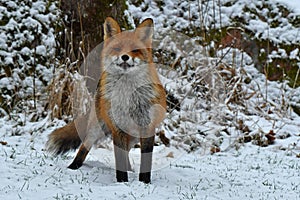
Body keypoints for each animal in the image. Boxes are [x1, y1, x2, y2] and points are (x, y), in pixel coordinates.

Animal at [46, 18, 166, 184]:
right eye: (117, 48)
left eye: (134, 50)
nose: (125, 57)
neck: (127, 96)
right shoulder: (117, 128)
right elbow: (119, 158)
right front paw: (122, 182)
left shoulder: (147, 127)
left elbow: (144, 160)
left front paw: (144, 182)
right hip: (96, 129)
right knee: (84, 147)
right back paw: (73, 167)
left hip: (133, 136)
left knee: (126, 151)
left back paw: (129, 169)